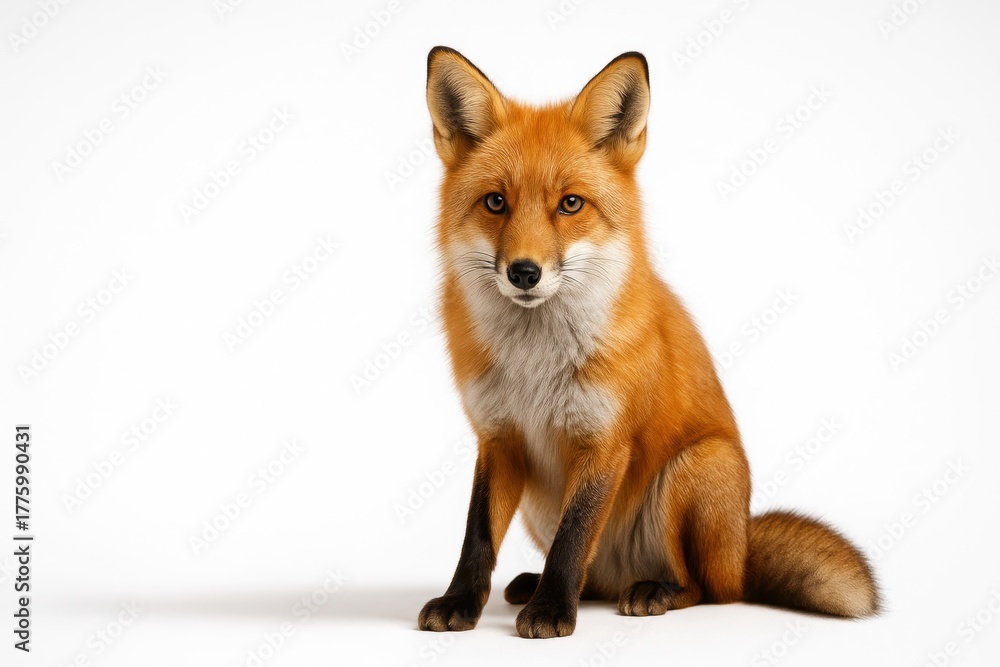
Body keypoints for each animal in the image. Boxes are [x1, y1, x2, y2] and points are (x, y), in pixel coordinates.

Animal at [417, 46, 879, 639]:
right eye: (495, 202)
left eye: (570, 204)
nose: (524, 272)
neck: (533, 365)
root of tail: (741, 551)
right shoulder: (497, 439)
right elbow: (476, 537)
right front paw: (461, 602)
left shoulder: (605, 441)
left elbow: (573, 539)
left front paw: (550, 612)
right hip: (540, 505)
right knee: (594, 576)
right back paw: (545, 585)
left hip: (697, 468)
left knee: (706, 589)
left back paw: (653, 592)